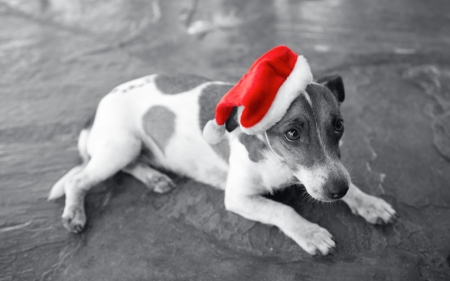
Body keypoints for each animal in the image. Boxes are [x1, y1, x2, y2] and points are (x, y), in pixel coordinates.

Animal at [50, 46, 398, 256]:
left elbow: (350, 184)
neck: (279, 163)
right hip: (121, 146)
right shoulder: (239, 198)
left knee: (128, 165)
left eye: (338, 125)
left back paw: (154, 178)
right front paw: (310, 232)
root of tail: (99, 107)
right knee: (78, 180)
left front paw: (368, 202)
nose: (338, 191)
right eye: (292, 134)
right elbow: (282, 210)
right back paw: (75, 213)